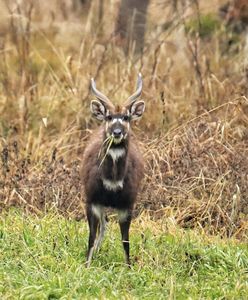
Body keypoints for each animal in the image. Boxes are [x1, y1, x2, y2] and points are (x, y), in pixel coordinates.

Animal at [82, 74, 145, 266]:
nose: (117, 132)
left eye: (126, 117)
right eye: (109, 117)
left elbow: (126, 240)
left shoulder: (127, 205)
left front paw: (129, 267)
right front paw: (86, 265)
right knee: (103, 225)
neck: (112, 182)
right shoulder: (92, 200)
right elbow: (91, 236)